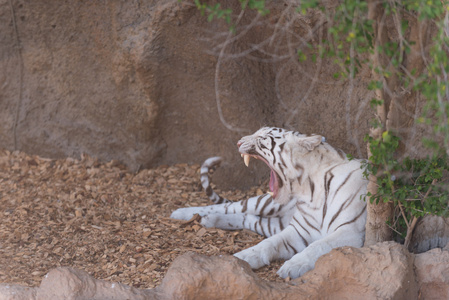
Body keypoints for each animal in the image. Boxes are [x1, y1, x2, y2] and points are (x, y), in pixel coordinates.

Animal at [170, 126, 366, 278]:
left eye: (262, 137)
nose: (238, 143)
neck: (309, 190)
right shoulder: (298, 230)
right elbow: (269, 243)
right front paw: (245, 256)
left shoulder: (351, 232)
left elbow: (318, 245)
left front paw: (292, 266)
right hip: (265, 203)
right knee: (230, 206)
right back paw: (182, 213)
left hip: (274, 222)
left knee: (248, 218)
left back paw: (207, 220)